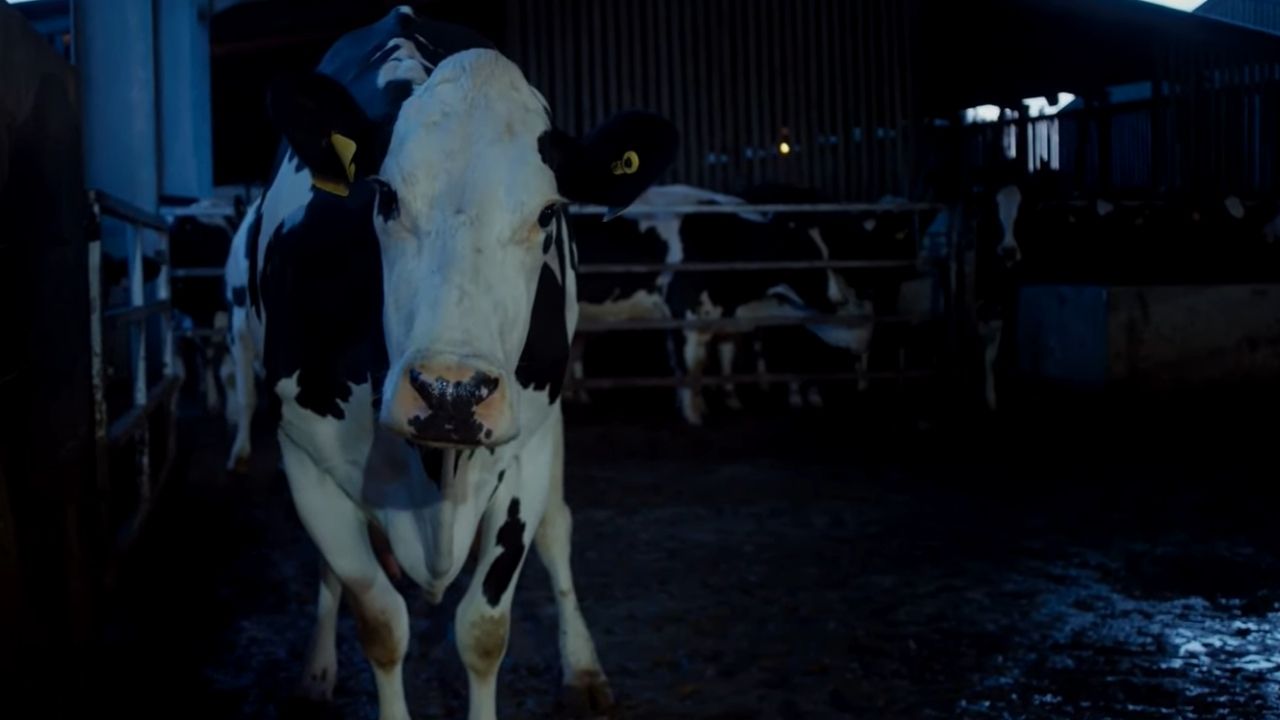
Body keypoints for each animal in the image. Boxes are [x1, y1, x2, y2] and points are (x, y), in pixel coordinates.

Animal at [222, 8, 677, 720]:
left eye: (548, 212)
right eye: (385, 197)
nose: (450, 393)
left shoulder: (523, 454)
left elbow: (482, 630)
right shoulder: (305, 456)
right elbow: (379, 618)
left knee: (558, 530)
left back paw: (583, 669)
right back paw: (316, 671)